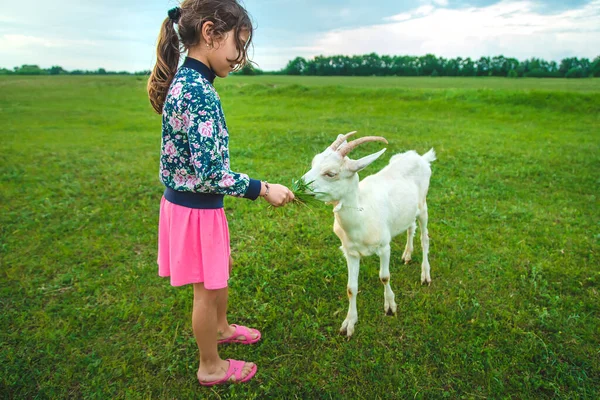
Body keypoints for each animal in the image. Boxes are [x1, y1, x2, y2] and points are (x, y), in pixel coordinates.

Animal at [300, 131, 436, 338]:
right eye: (313, 162)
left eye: (331, 173)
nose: (298, 184)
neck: (361, 217)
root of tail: (420, 157)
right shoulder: (350, 252)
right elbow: (351, 288)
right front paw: (349, 324)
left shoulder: (384, 246)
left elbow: (384, 277)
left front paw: (390, 306)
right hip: (408, 210)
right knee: (410, 227)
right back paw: (407, 254)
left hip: (423, 206)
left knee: (424, 238)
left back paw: (425, 275)